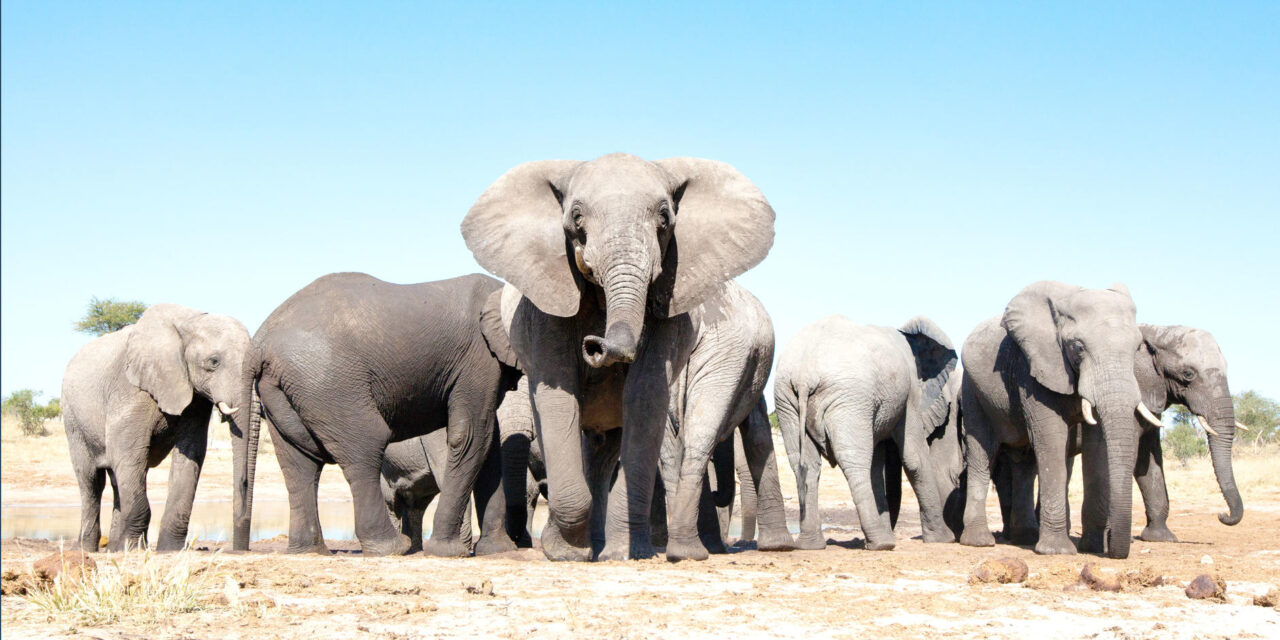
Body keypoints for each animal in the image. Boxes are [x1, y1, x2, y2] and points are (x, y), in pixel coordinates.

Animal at [61, 304, 251, 552]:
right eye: (214, 362)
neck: (189, 321)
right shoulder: (130, 388)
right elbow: (129, 453)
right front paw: (133, 549)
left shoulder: (195, 396)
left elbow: (191, 453)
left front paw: (169, 550)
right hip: (72, 418)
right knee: (91, 481)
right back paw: (87, 549)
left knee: (116, 479)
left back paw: (115, 548)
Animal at [235, 272, 519, 556]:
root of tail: (258, 344)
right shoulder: (478, 358)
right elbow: (471, 436)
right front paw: (448, 552)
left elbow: (489, 443)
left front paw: (499, 550)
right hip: (328, 382)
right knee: (365, 446)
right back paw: (393, 547)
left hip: (284, 389)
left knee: (299, 463)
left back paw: (310, 551)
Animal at [461, 153, 776, 561]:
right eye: (576, 217)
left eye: (664, 218)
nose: (595, 345)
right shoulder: (545, 304)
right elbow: (559, 396)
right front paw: (566, 553)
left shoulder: (667, 307)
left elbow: (645, 397)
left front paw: (623, 553)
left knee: (611, 447)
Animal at [774, 315, 960, 551]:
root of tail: (805, 374)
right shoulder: (910, 394)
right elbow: (914, 459)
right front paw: (944, 539)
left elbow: (877, 465)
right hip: (847, 398)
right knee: (854, 461)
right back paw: (881, 544)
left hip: (787, 400)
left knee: (805, 464)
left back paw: (811, 545)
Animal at [959, 281, 1153, 559]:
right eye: (1078, 347)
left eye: (1137, 349)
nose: (1113, 547)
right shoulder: (1034, 369)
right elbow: (1052, 442)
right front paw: (1057, 551)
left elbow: (1097, 449)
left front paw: (1091, 548)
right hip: (972, 390)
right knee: (981, 452)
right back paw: (979, 541)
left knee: (1025, 463)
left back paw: (1026, 537)